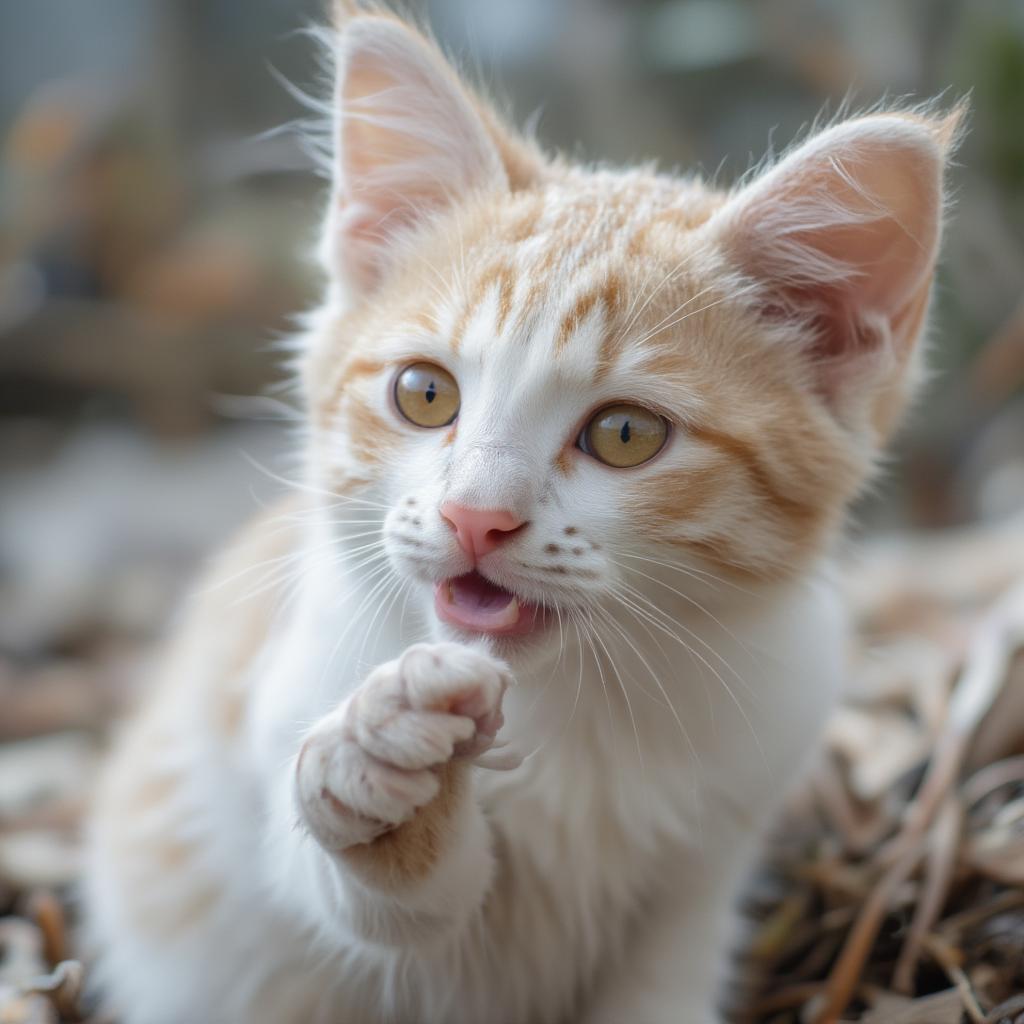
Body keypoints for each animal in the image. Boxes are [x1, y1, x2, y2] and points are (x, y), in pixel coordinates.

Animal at [79, 8, 958, 1024]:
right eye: (424, 393)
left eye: (625, 434)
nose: (474, 516)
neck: (570, 708)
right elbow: (375, 905)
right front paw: (385, 777)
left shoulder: (707, 862)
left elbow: (660, 984)